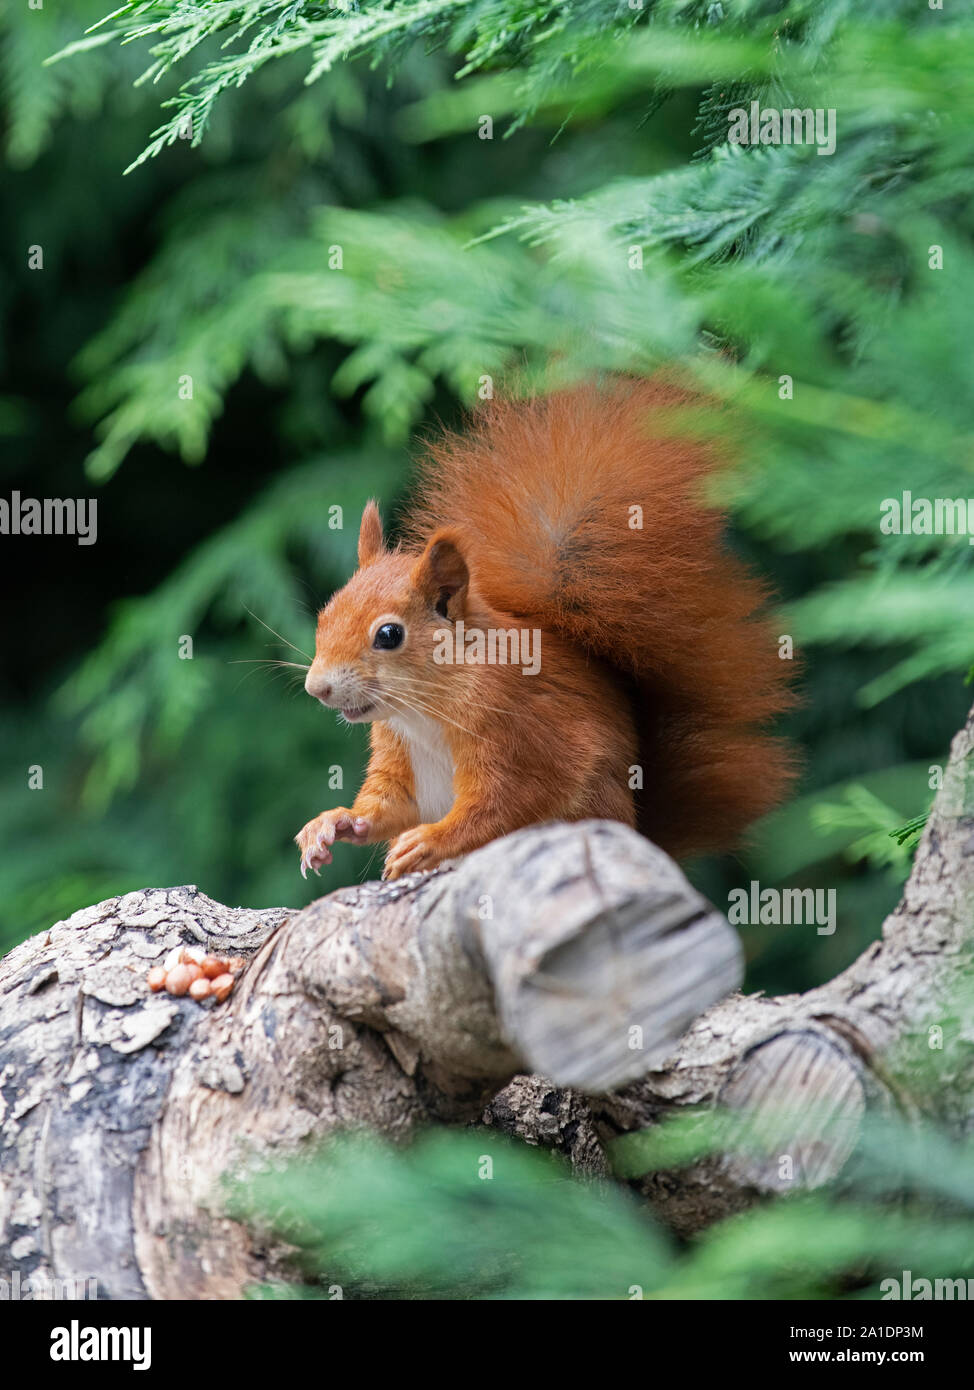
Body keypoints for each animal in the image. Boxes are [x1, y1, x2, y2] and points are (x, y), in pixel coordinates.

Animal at [296, 378, 796, 881]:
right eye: (325, 615)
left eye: (389, 635)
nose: (316, 688)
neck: (424, 711)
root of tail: (637, 828)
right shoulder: (398, 753)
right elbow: (386, 806)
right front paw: (331, 823)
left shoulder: (515, 729)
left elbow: (503, 802)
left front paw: (429, 842)